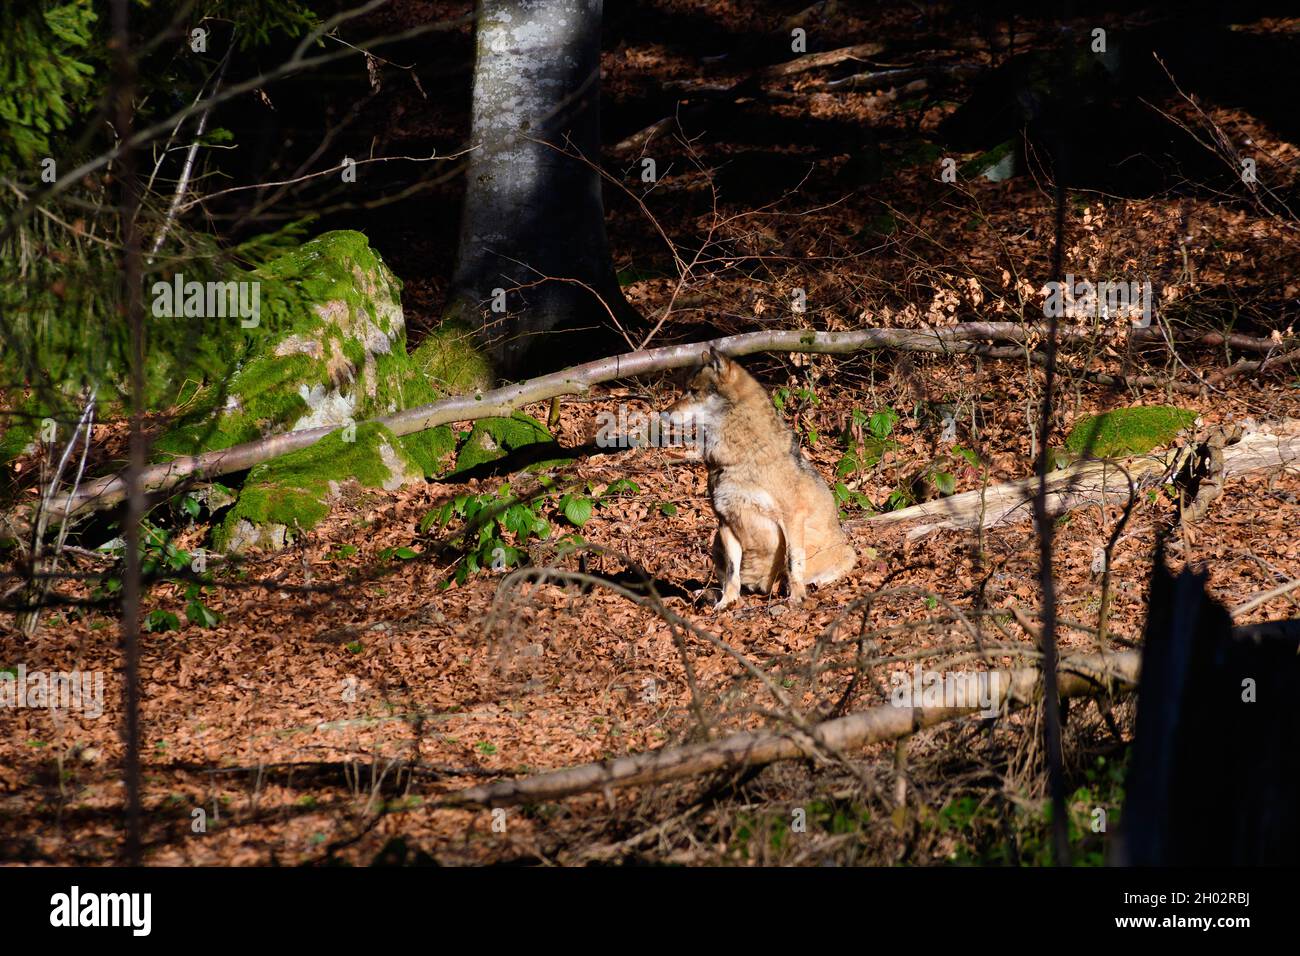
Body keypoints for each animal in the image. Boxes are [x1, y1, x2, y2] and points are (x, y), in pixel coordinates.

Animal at [660, 348, 856, 609]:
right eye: (684, 390)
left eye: (694, 391)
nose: (663, 413)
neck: (740, 458)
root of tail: (760, 588)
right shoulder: (725, 522)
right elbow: (732, 574)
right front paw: (727, 602)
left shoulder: (792, 517)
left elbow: (793, 562)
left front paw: (796, 596)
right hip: (716, 542)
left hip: (846, 552)